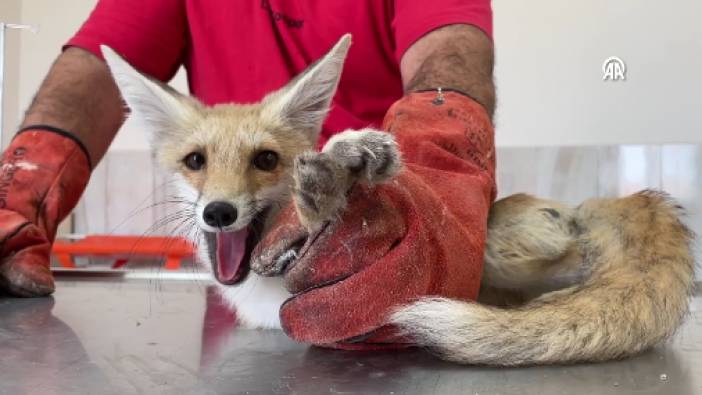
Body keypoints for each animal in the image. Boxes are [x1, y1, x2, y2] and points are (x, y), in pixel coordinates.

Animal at [102, 35, 696, 366]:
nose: (219, 212)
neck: (263, 292)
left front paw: (345, 166)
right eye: (195, 161)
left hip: (494, 251)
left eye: (265, 160)